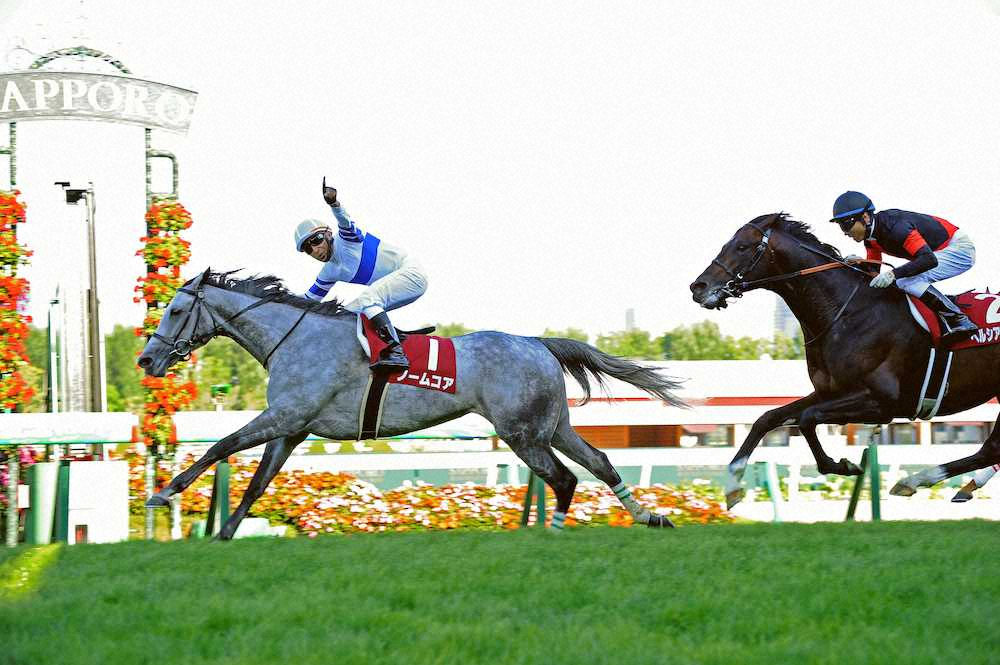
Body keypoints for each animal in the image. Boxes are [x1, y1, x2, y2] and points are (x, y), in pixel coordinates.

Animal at [138, 269, 687, 539]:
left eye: (177, 310)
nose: (147, 358)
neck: (294, 337)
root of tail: (537, 343)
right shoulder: (292, 429)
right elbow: (255, 483)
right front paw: (224, 534)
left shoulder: (285, 416)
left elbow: (220, 447)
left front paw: (164, 493)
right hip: (552, 426)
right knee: (600, 461)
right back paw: (649, 517)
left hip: (522, 434)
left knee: (565, 478)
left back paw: (550, 535)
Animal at [689, 213, 1000, 507]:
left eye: (742, 246)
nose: (698, 287)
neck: (846, 313)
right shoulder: (829, 392)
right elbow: (767, 418)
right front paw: (732, 486)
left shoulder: (882, 402)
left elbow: (807, 419)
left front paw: (842, 465)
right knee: (990, 450)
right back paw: (925, 482)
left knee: (991, 450)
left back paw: (916, 480)